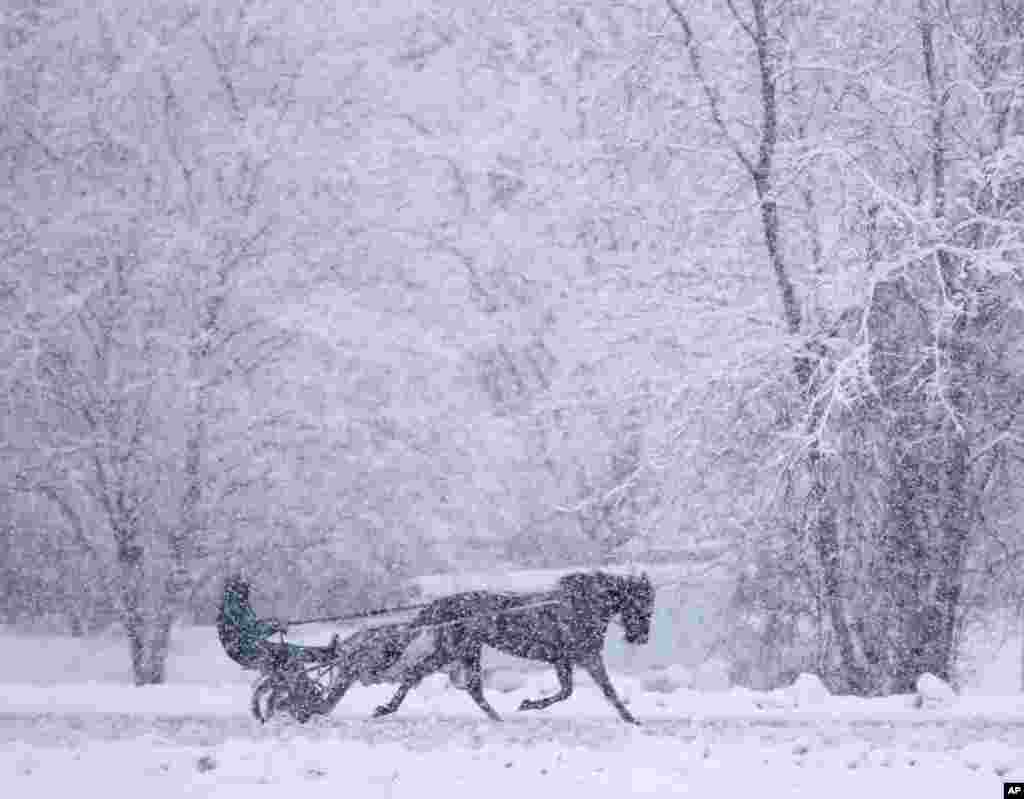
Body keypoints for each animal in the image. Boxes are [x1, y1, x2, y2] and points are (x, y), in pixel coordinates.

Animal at [370, 569, 655, 725]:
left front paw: (528, 703)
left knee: (473, 688)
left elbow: (568, 691)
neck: (584, 606)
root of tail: (440, 604)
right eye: (642, 604)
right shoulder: (587, 657)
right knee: (415, 673)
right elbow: (607, 691)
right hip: (451, 650)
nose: (641, 637)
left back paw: (498, 718)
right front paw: (632, 719)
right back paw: (386, 708)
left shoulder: (564, 660)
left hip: (468, 651)